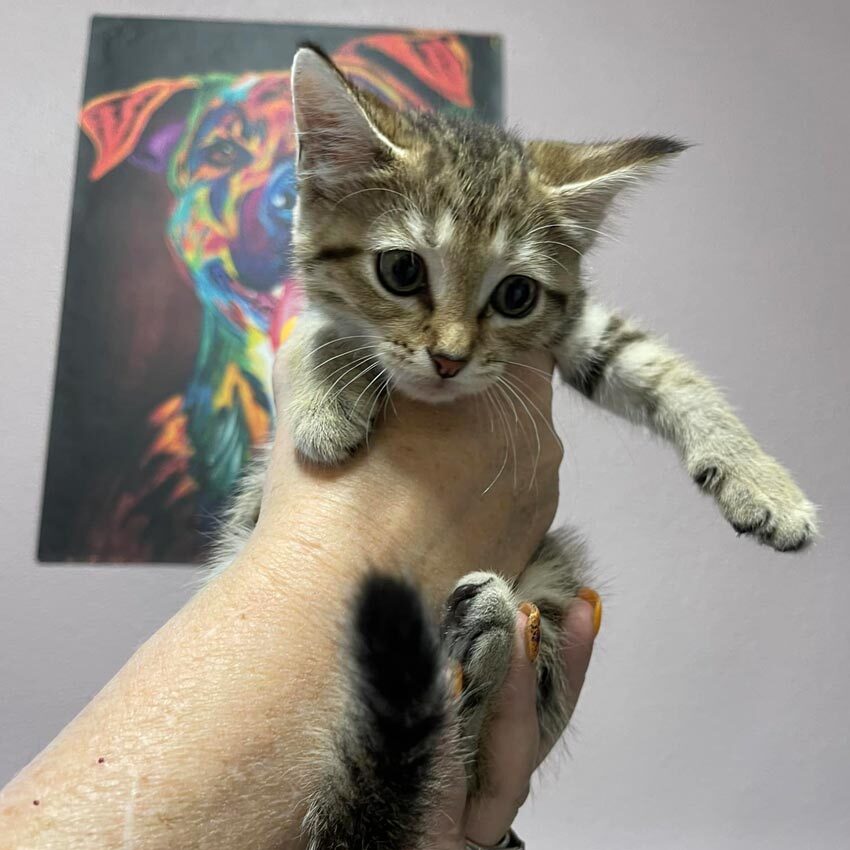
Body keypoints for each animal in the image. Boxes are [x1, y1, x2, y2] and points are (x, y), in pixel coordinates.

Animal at [219, 46, 816, 848]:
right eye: (401, 271)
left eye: (515, 296)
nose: (449, 359)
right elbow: (317, 328)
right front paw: (324, 403)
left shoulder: (578, 327)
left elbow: (668, 370)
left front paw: (763, 483)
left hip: (555, 587)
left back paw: (480, 642)